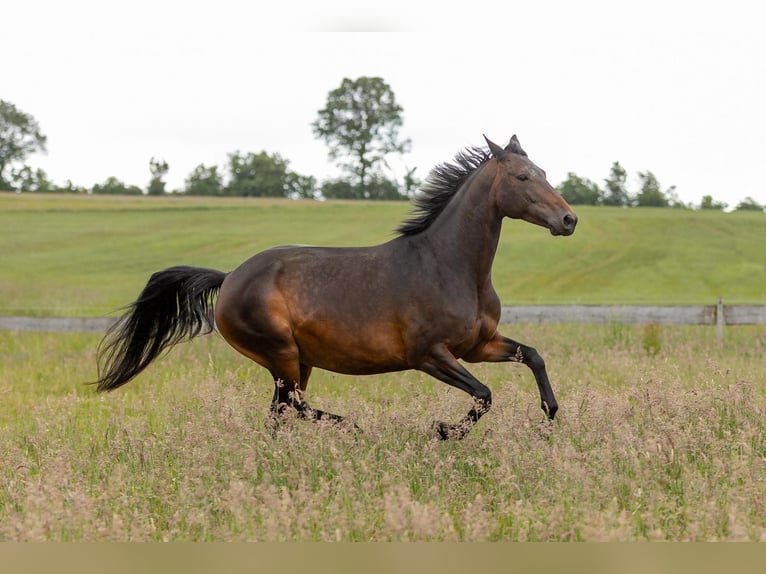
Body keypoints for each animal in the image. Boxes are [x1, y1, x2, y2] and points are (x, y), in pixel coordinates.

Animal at [94, 135, 576, 440]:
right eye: (522, 178)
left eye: (543, 170)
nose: (568, 219)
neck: (449, 265)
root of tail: (229, 277)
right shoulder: (429, 355)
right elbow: (483, 395)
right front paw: (444, 431)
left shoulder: (478, 346)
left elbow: (533, 357)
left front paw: (548, 417)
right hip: (282, 355)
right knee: (291, 406)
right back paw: (351, 426)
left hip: (295, 361)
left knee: (280, 413)